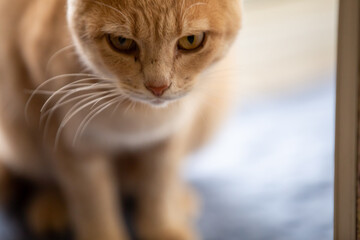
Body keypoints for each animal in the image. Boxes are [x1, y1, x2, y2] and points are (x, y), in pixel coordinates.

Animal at [0, 0, 242, 239]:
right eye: (121, 41)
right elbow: (92, 203)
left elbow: (159, 187)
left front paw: (163, 228)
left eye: (191, 40)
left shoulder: (169, 135)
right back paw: (51, 206)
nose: (158, 87)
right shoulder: (72, 141)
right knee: (42, 176)